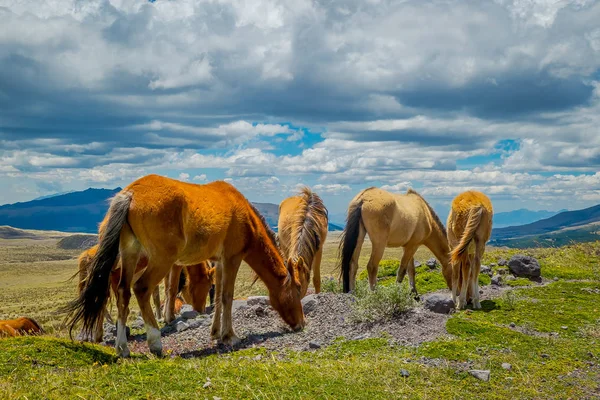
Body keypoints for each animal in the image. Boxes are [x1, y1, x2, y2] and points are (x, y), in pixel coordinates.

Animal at [67, 174, 304, 356]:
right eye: (297, 290)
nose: (301, 324)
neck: (245, 217)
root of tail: (130, 194)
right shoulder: (232, 259)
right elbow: (227, 297)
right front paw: (230, 336)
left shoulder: (219, 262)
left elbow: (218, 296)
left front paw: (216, 332)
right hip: (161, 259)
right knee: (141, 289)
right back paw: (155, 343)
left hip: (130, 254)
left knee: (123, 291)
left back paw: (122, 348)